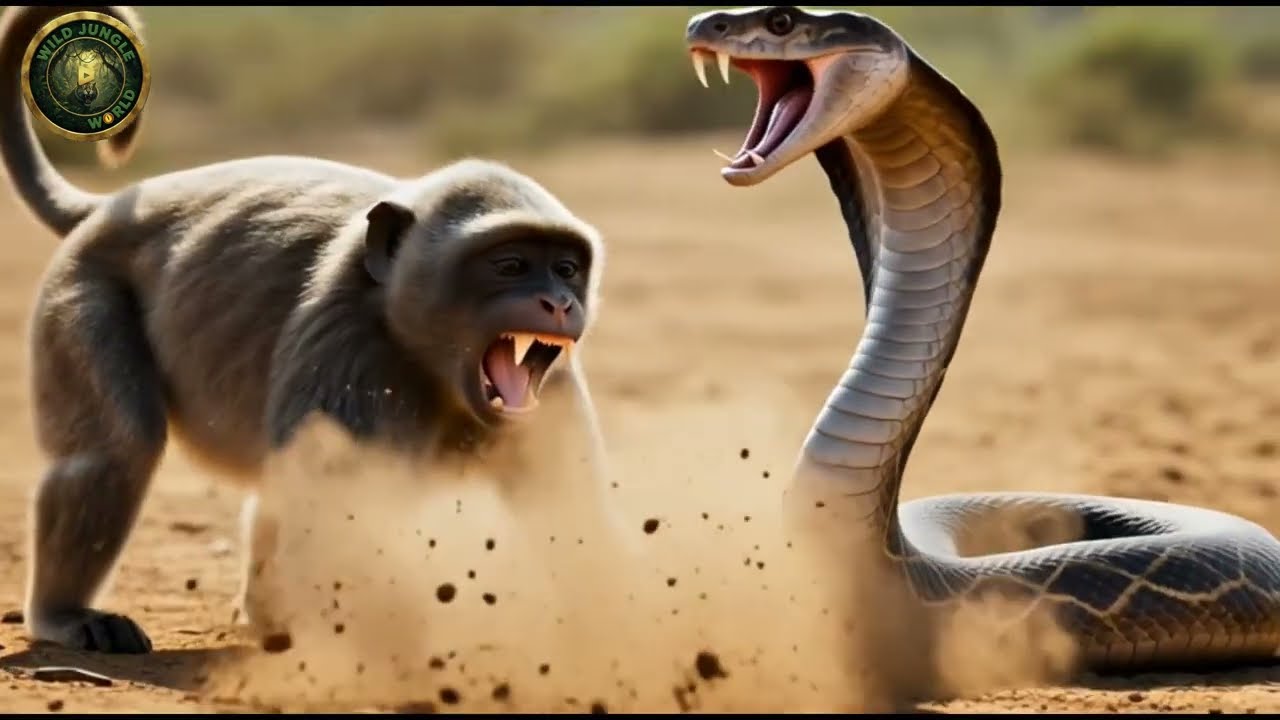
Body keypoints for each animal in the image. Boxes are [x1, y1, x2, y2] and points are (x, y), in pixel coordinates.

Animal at [2, 5, 625, 654]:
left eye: (566, 268)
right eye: (510, 266)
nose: (557, 302)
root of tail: (106, 210)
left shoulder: (549, 385)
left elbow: (566, 506)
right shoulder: (347, 344)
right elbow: (334, 502)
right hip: (81, 288)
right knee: (118, 447)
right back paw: (65, 613)